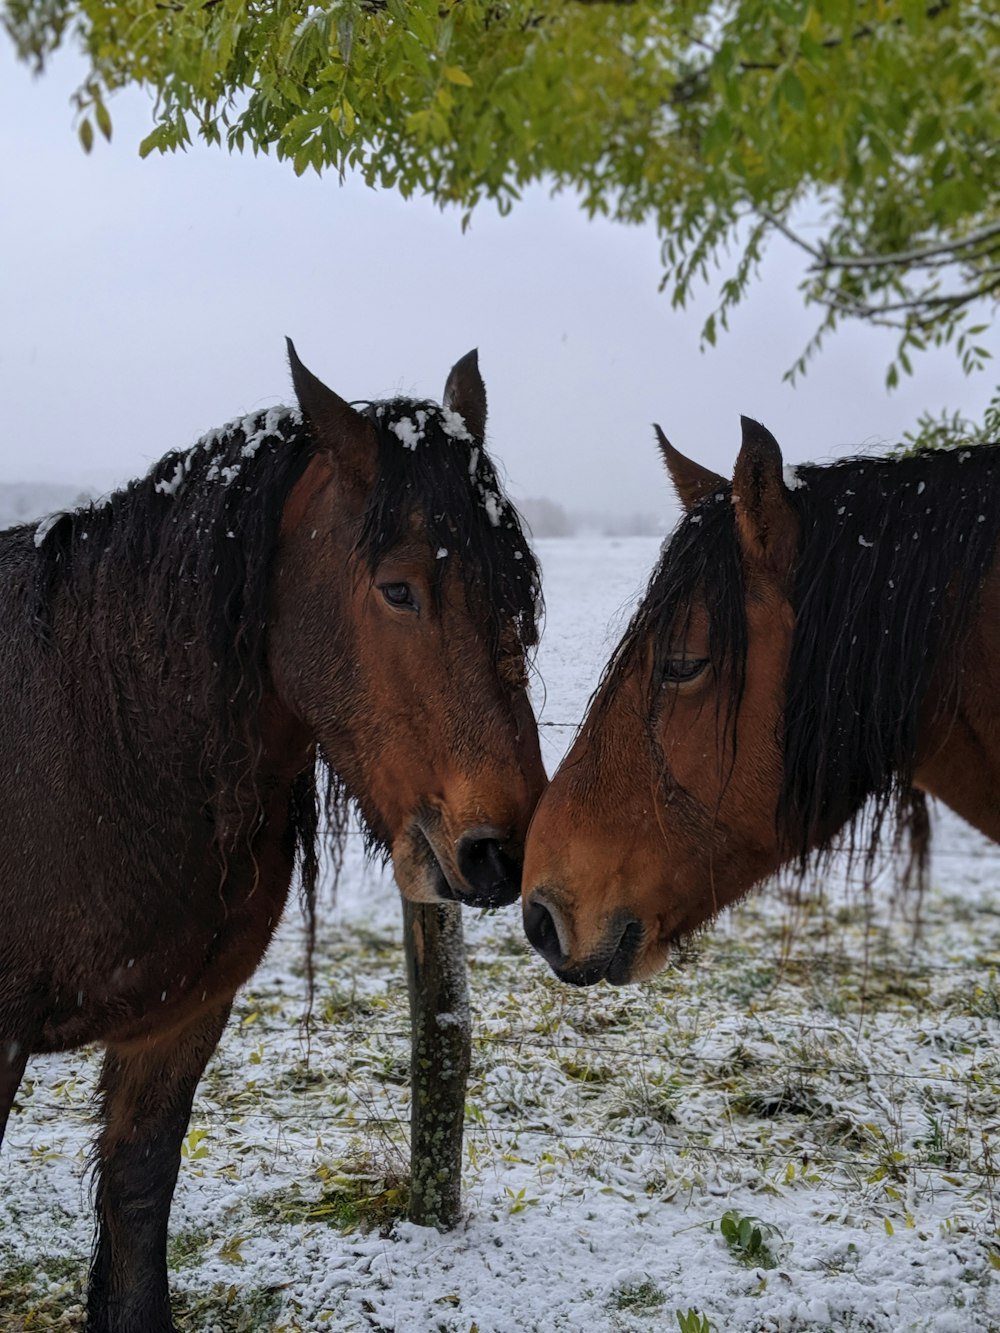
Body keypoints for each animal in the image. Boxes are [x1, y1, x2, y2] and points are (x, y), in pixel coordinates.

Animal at [0, 346, 549, 1333]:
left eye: (518, 592)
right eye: (398, 588)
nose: (503, 852)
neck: (97, 740)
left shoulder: (179, 1017)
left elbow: (138, 1201)